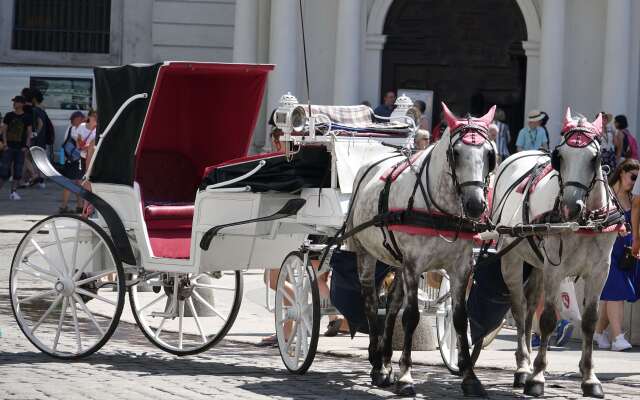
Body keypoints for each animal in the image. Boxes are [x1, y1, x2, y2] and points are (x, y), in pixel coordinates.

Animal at [348, 104, 498, 396]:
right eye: (456, 153)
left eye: (489, 154)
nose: (475, 205)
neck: (442, 211)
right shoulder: (414, 264)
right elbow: (411, 317)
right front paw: (406, 376)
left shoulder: (461, 266)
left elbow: (460, 318)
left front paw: (470, 378)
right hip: (366, 253)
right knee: (370, 302)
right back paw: (378, 364)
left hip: (397, 260)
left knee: (392, 306)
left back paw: (385, 361)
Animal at [490, 108, 620, 396]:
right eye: (559, 157)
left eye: (595, 158)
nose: (571, 206)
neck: (584, 222)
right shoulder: (555, 268)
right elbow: (549, 318)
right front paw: (537, 377)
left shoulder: (600, 271)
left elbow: (590, 321)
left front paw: (589, 378)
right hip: (512, 259)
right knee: (519, 308)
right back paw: (523, 368)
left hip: (537, 264)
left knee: (529, 306)